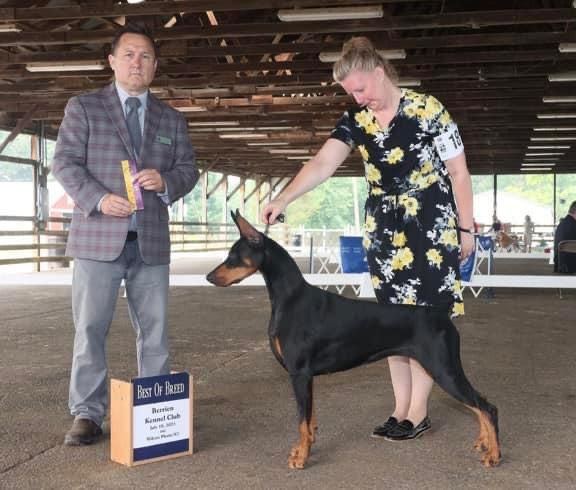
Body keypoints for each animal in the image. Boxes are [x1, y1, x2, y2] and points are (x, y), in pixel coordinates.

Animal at [206, 210, 500, 469]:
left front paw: (301, 458)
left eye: (233, 256)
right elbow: (309, 420)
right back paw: (483, 443)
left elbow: (301, 420)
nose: (209, 277)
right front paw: (304, 448)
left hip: (443, 368)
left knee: (487, 407)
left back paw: (494, 455)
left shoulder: (299, 373)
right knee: (479, 406)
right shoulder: (307, 377)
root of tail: (441, 313)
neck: (289, 298)